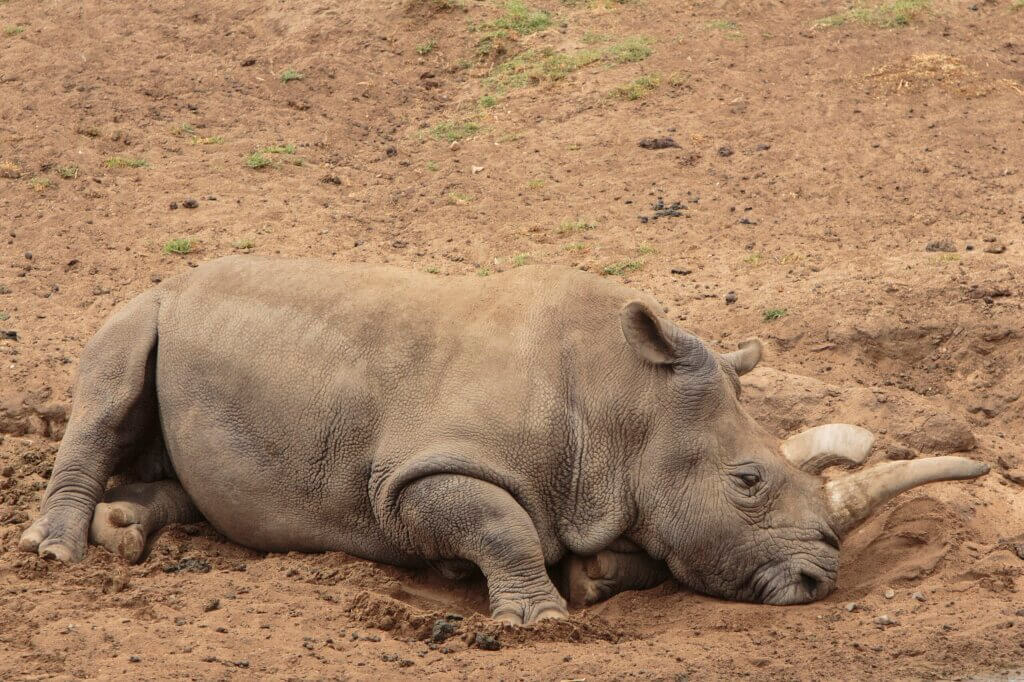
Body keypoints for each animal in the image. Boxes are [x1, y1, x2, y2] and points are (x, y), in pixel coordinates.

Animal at [19, 257, 988, 623]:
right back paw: (59, 553)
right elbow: (497, 523)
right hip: (149, 302)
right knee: (110, 379)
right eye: (747, 481)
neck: (624, 403)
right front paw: (538, 617)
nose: (822, 581)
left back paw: (123, 531)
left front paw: (593, 576)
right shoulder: (410, 477)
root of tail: (180, 277)